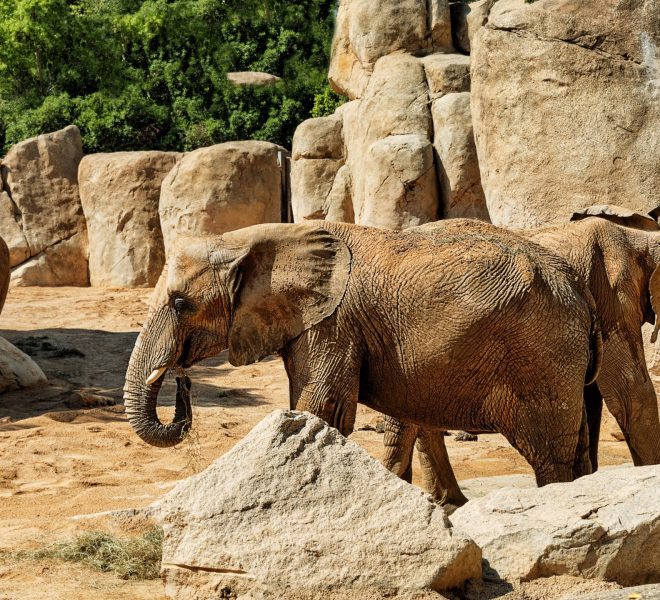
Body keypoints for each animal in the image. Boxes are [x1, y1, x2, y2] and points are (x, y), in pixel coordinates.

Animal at [123, 219, 602, 487]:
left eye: (180, 303)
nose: (182, 379)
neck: (255, 237)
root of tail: (580, 290)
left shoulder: (334, 325)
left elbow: (320, 407)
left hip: (541, 355)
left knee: (549, 456)